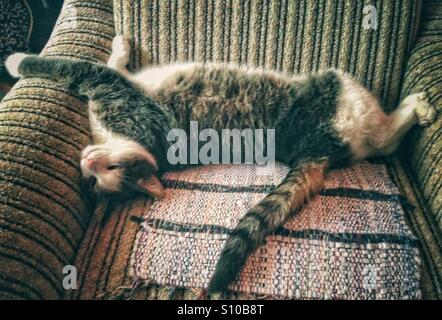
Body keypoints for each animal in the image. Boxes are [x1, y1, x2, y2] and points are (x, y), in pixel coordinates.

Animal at [5, 35, 436, 296]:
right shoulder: (111, 86)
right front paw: (16, 58)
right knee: (386, 137)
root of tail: (314, 150)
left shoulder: (112, 85)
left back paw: (418, 105)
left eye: (111, 173)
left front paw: (16, 58)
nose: (88, 162)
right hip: (343, 90)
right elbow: (69, 64)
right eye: (98, 181)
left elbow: (88, 63)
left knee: (385, 138)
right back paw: (418, 107)